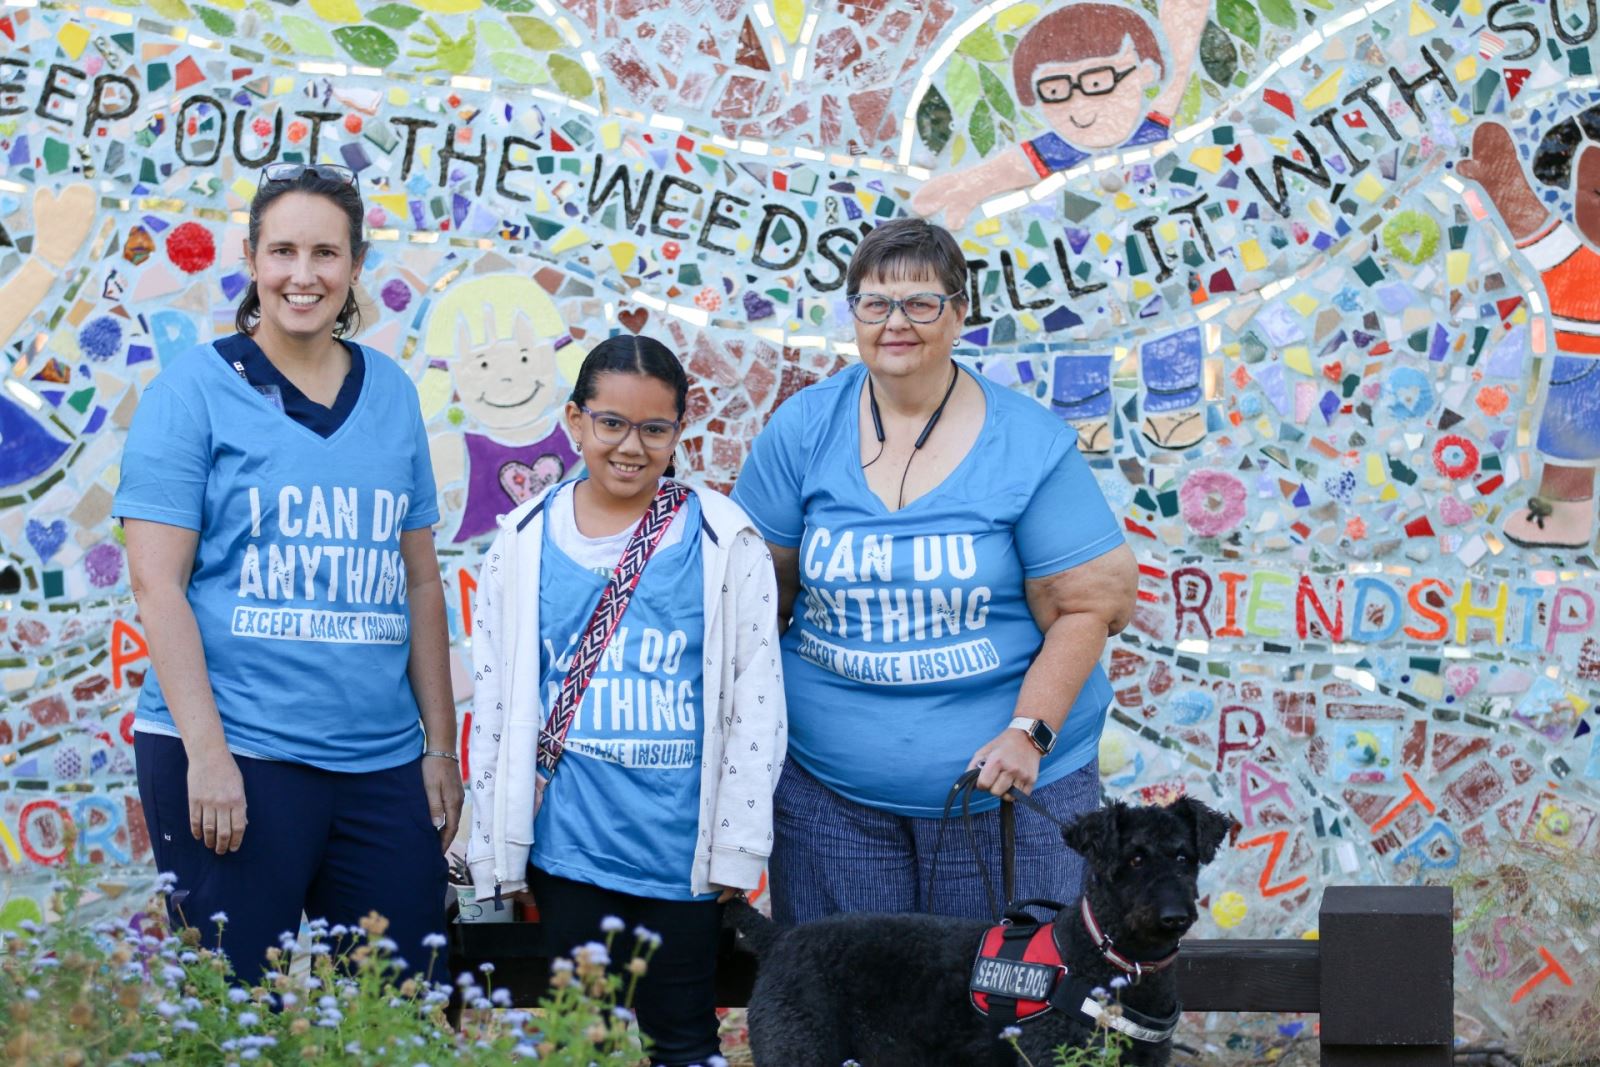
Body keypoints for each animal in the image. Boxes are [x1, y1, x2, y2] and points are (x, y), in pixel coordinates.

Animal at [726, 796, 1235, 1062]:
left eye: (1184, 857)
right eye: (1133, 859)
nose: (1173, 916)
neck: (1102, 959)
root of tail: (780, 937)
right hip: (799, 1048)